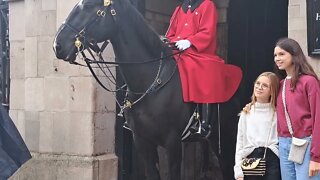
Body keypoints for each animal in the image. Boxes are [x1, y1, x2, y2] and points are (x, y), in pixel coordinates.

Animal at [53, 0, 234, 179]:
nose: (57, 45)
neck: (149, 83)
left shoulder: (173, 143)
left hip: (224, 141)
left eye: (89, 6)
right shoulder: (142, 141)